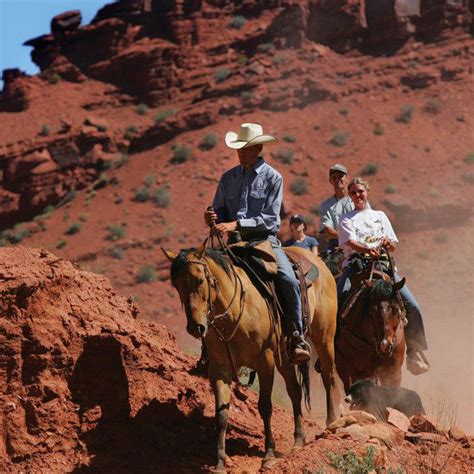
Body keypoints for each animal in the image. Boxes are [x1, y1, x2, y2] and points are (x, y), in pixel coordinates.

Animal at [163, 243, 336, 472]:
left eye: (199, 279)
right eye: (176, 285)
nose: (195, 327)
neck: (233, 313)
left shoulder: (265, 362)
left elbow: (265, 407)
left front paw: (269, 455)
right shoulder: (219, 369)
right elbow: (221, 414)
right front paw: (220, 462)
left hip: (324, 338)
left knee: (328, 377)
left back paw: (331, 423)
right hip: (285, 357)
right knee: (295, 390)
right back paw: (299, 440)